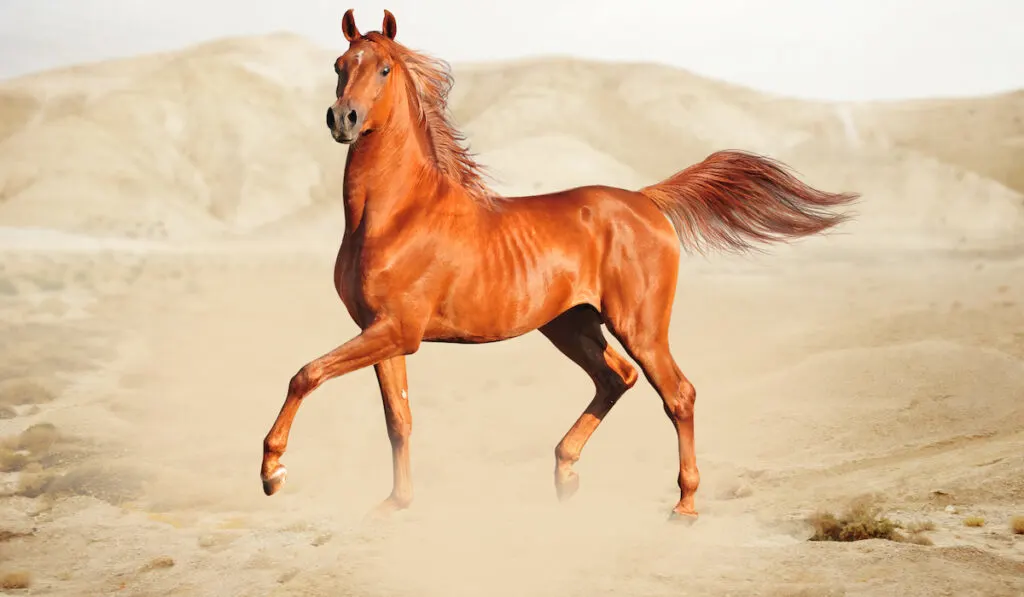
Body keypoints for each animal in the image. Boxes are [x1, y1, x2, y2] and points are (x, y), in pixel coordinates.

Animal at [260, 9, 860, 524]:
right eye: (340, 65)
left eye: (383, 68)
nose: (343, 118)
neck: (397, 214)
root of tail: (646, 201)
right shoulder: (382, 332)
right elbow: (397, 421)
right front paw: (394, 504)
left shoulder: (397, 331)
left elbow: (305, 374)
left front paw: (273, 472)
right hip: (571, 324)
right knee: (616, 378)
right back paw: (566, 475)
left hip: (638, 325)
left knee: (677, 394)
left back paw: (684, 505)